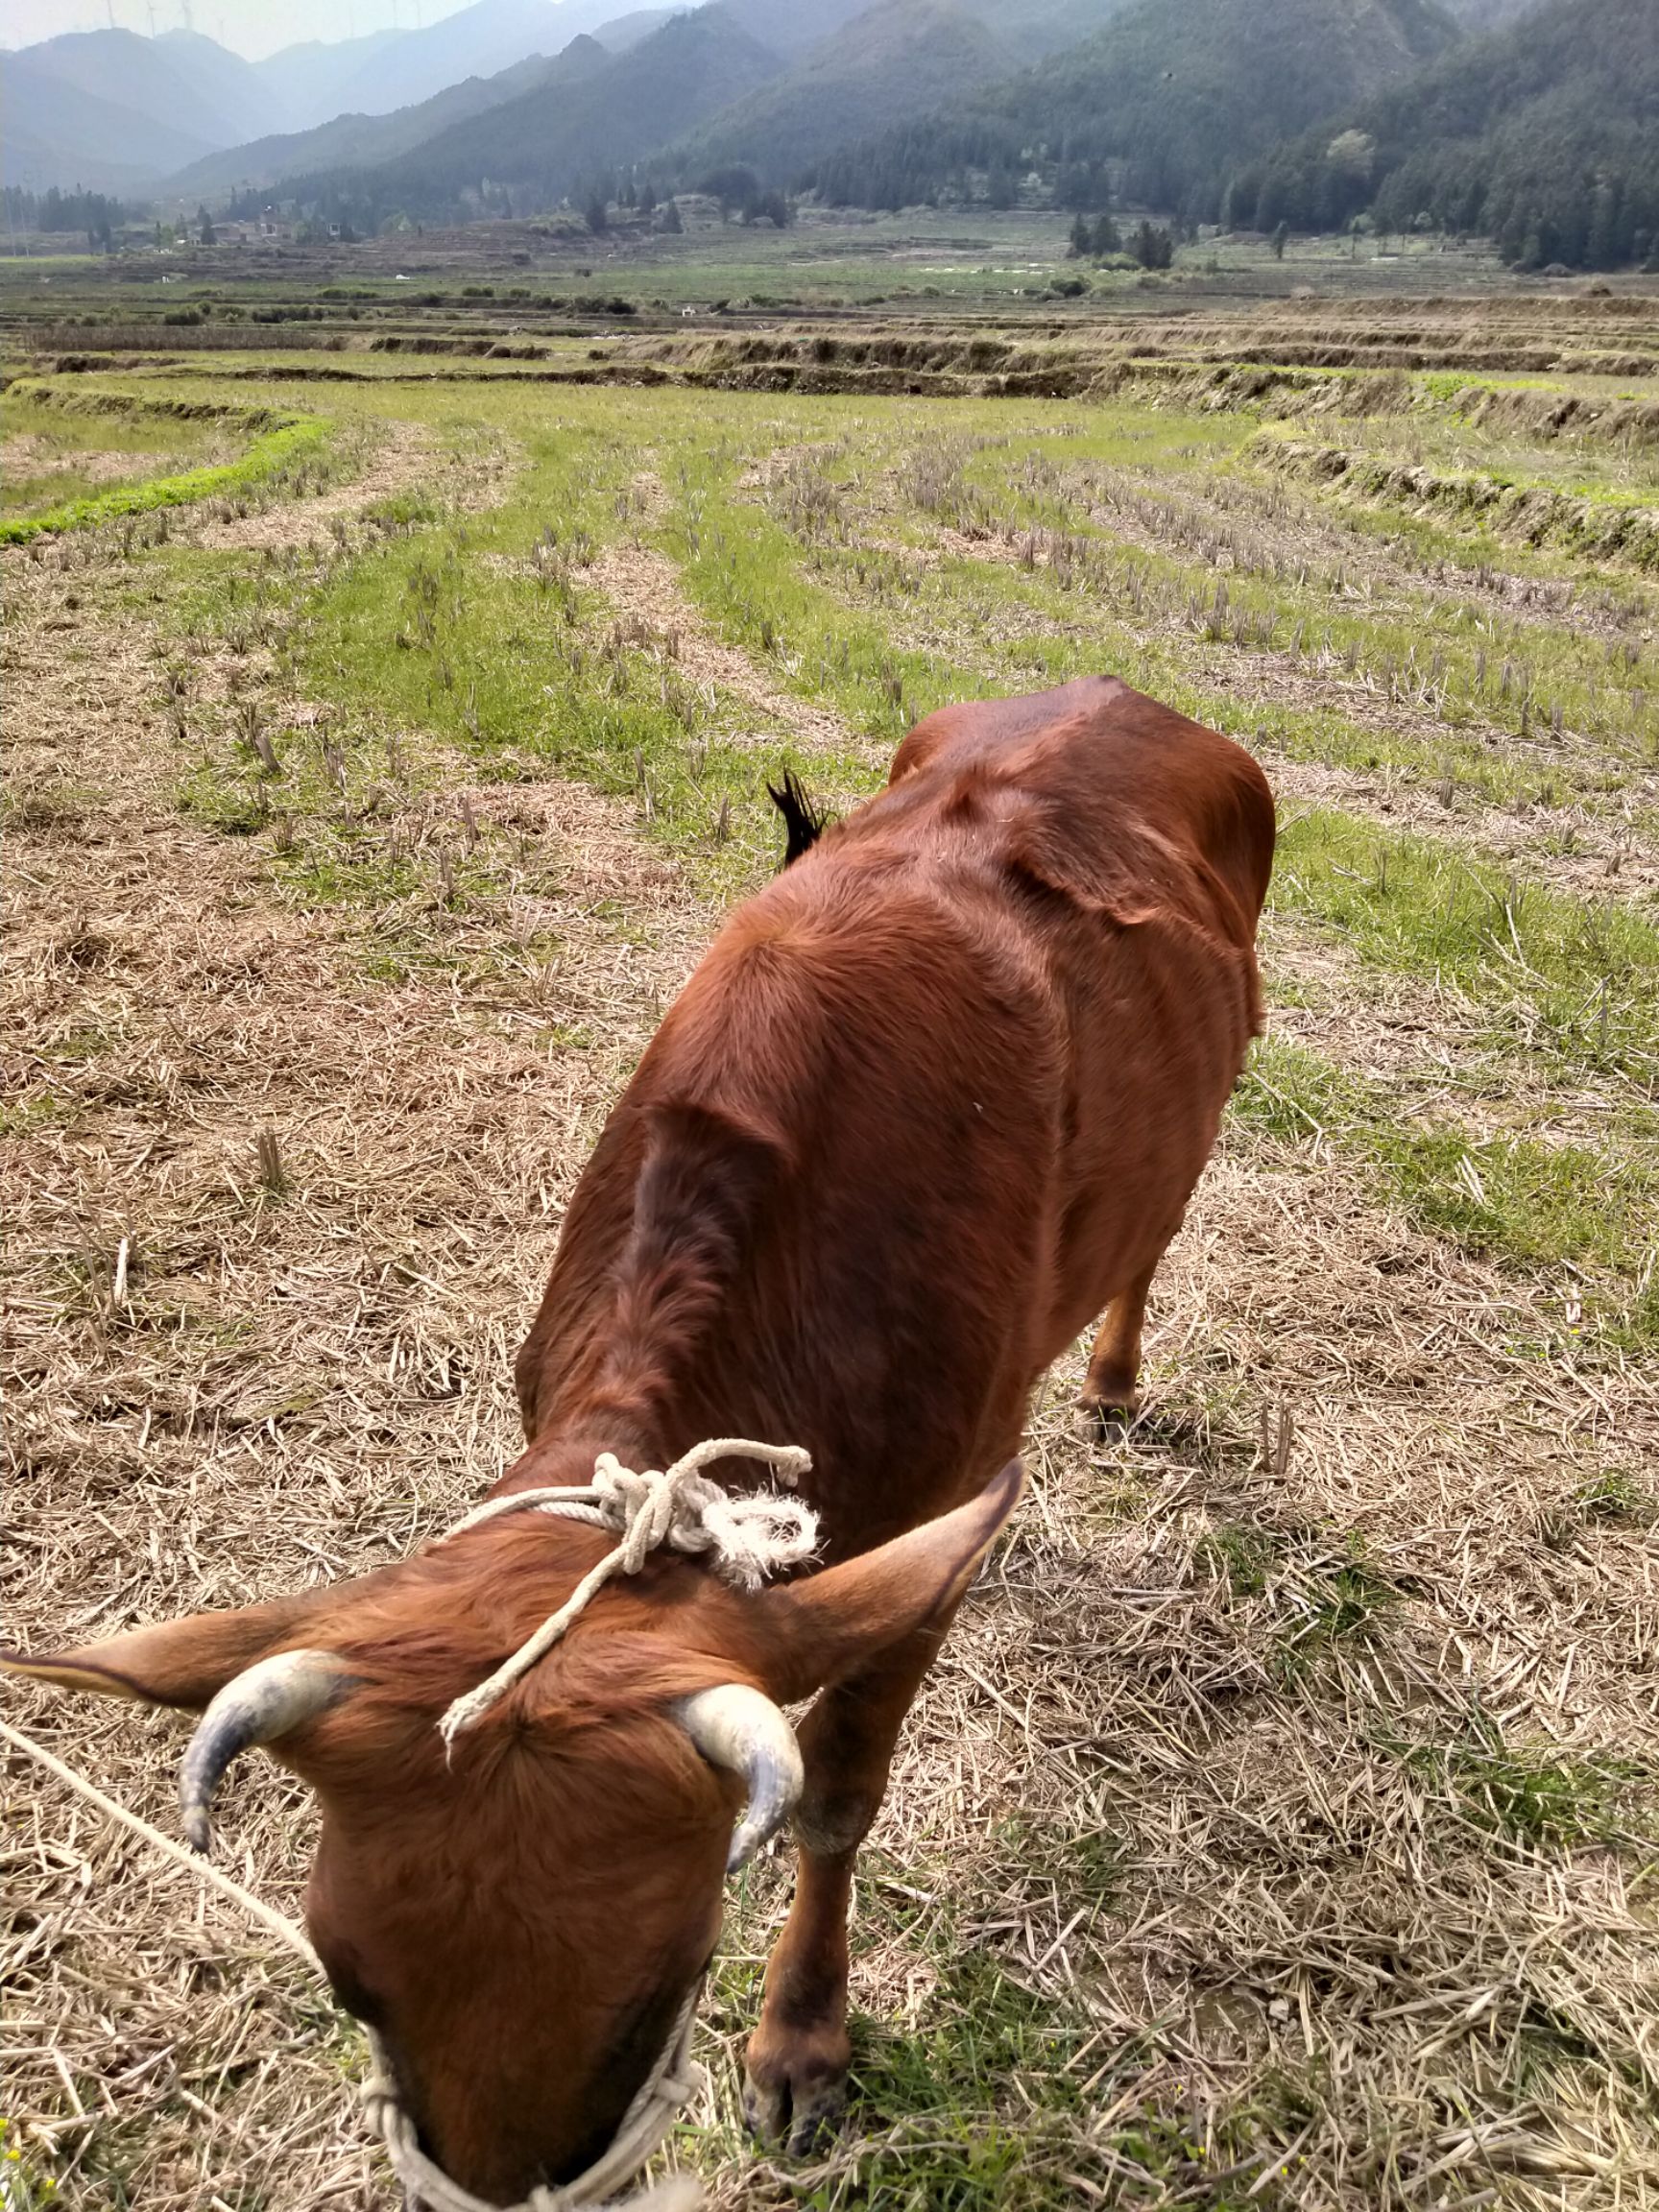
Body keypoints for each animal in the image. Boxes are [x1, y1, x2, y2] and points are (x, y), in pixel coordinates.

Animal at [3, 681, 1274, 2202]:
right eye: (346, 1975)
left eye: (669, 1974)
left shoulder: (947, 1512)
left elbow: (842, 1795)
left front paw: (801, 2042)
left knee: (1152, 1242)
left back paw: (1116, 1377)